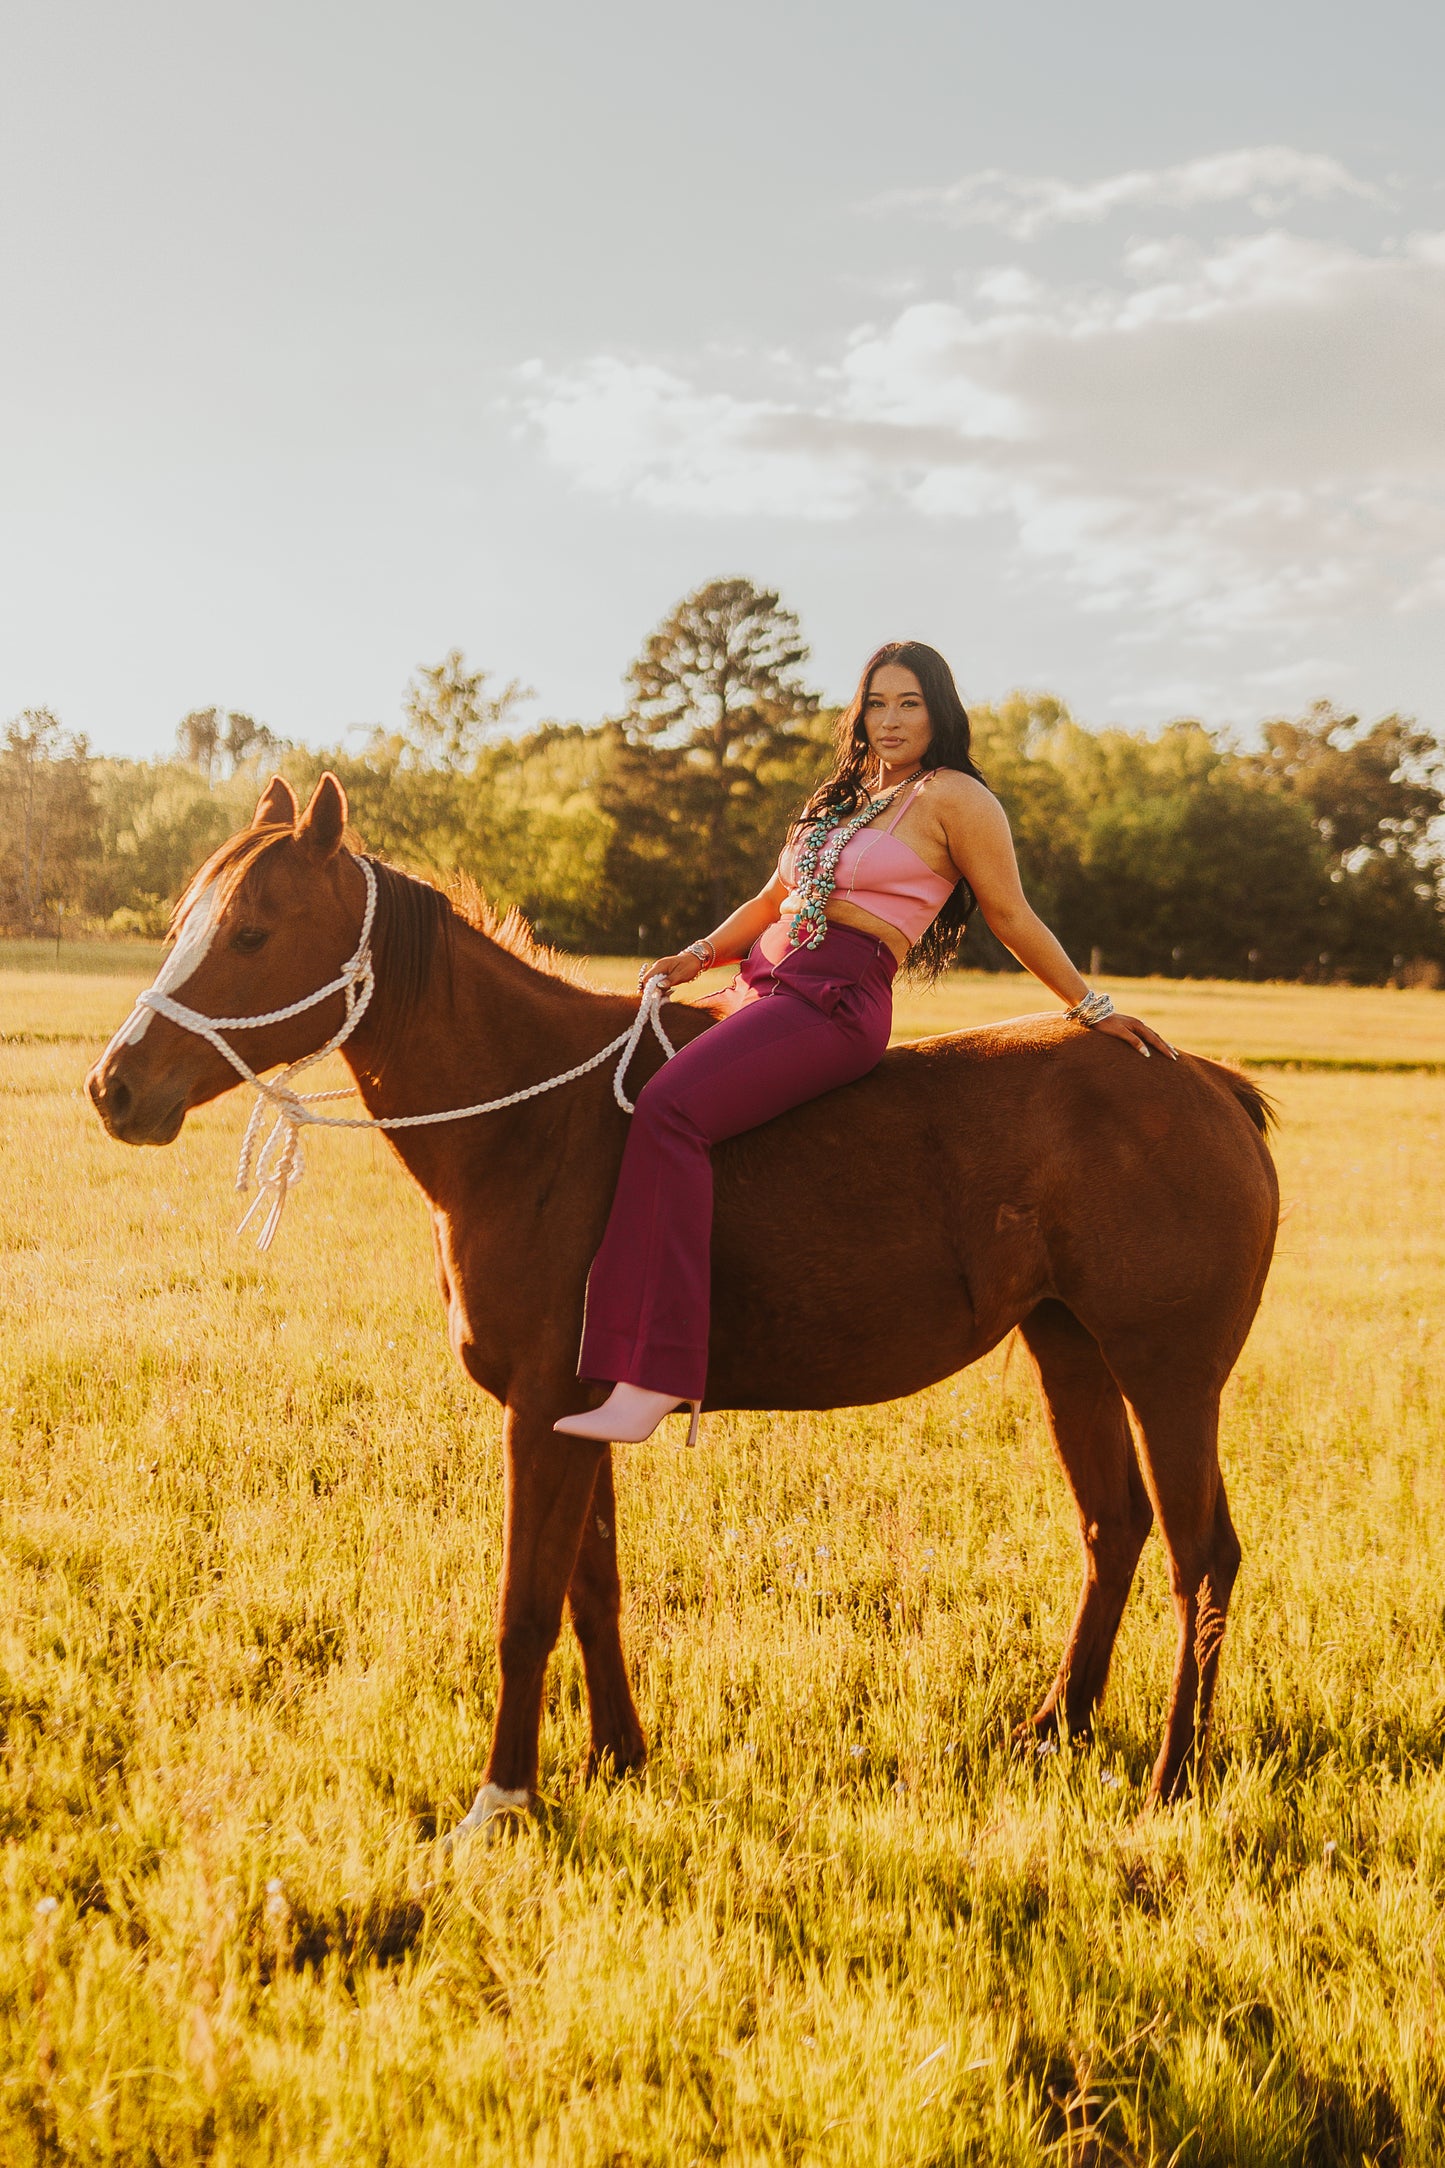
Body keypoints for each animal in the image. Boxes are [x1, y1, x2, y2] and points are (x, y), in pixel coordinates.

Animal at [87, 780, 1273, 1812]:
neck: (536, 1121)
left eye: (250, 934)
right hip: (1070, 1350)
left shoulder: (540, 1411)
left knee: (1199, 1556)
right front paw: (616, 1755)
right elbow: (591, 1591)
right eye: (184, 922)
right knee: (1112, 1527)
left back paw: (1173, 1771)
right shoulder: (580, 1410)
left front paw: (504, 1795)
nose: (114, 1087)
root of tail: (1203, 1080)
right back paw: (1053, 1726)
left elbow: (525, 1608)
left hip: (1169, 1376)